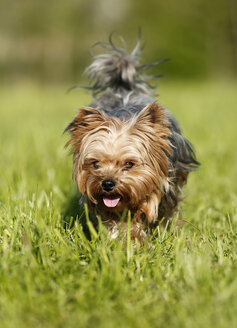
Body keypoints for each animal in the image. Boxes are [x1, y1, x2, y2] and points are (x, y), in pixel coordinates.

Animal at [64, 36, 199, 243]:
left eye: (129, 164)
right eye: (95, 164)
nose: (107, 184)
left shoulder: (167, 188)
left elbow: (158, 210)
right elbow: (118, 220)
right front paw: (127, 239)